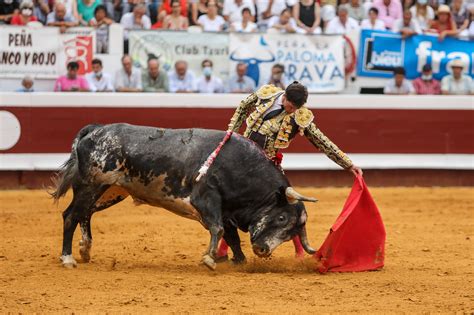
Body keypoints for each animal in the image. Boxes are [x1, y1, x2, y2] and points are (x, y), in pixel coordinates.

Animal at [51, 123, 318, 270]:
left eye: (292, 233)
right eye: (282, 218)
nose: (263, 250)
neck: (240, 167)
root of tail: (95, 130)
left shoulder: (226, 211)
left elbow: (231, 236)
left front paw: (238, 261)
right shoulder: (205, 200)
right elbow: (219, 229)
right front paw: (209, 260)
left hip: (110, 191)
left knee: (85, 213)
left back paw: (85, 249)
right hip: (91, 185)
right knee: (70, 215)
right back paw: (68, 258)